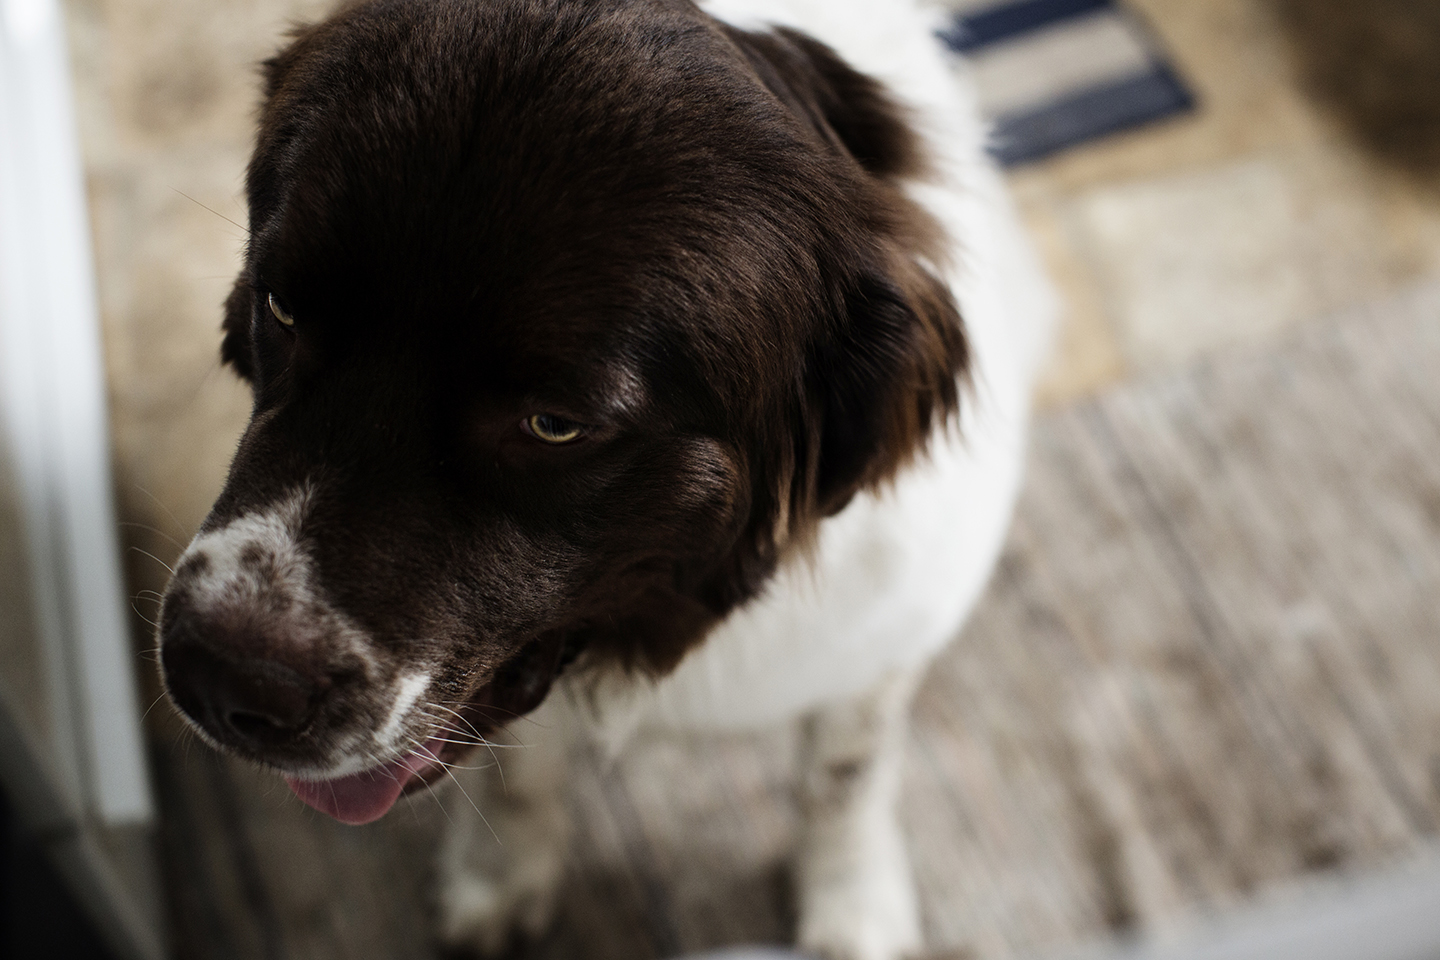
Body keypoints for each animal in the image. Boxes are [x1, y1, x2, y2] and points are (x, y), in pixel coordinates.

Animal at [160, 0, 1059, 955]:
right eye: (282, 308)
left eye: (555, 424)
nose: (219, 679)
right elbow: (519, 779)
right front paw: (500, 877)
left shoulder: (878, 649)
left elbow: (845, 776)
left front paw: (851, 906)